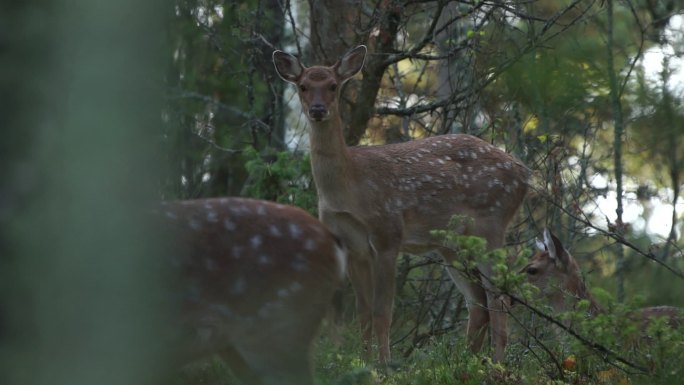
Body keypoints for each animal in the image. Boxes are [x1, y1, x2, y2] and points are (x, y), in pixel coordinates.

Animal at [272, 45, 528, 364]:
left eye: (332, 85)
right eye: (304, 86)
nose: (318, 110)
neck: (349, 187)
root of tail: (524, 174)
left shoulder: (387, 232)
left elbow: (383, 312)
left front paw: (384, 365)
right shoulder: (352, 245)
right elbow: (363, 313)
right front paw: (365, 362)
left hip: (492, 222)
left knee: (499, 297)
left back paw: (496, 365)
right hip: (452, 246)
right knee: (478, 302)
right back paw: (465, 362)